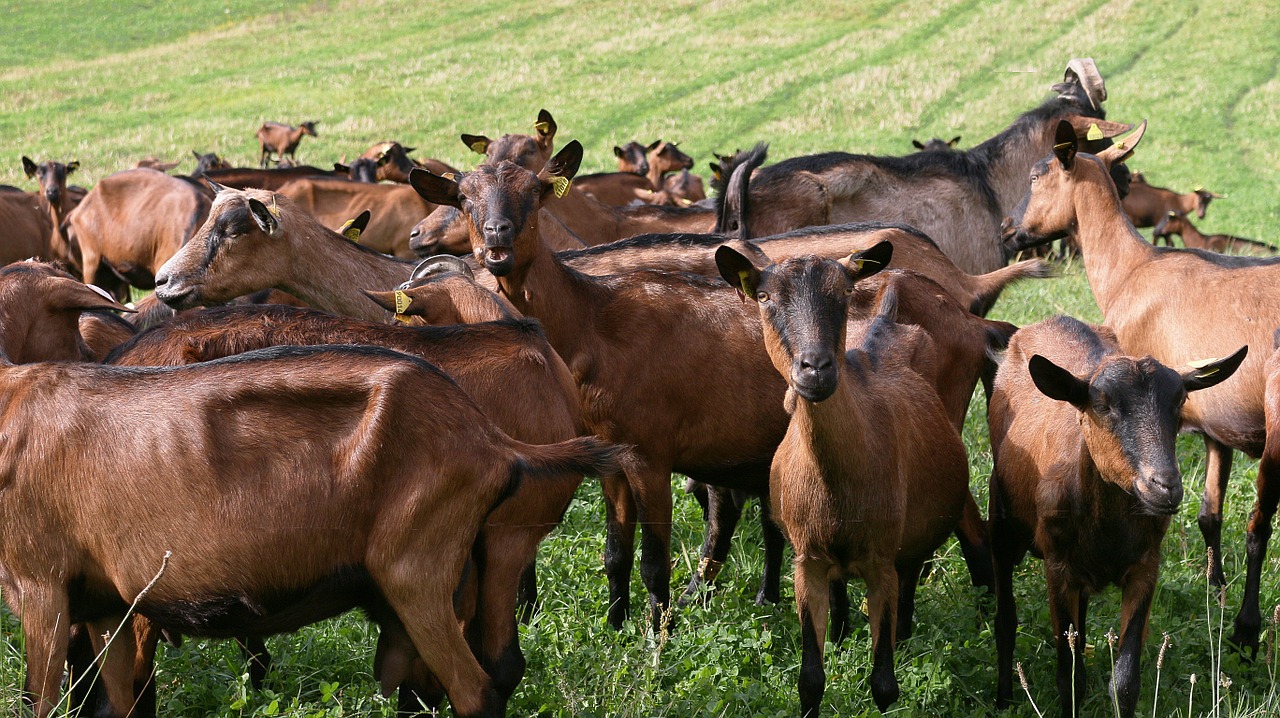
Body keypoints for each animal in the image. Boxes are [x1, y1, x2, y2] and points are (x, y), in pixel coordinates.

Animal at [721, 243, 967, 711]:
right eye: (763, 297)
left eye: (845, 292)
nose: (815, 368)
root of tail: (887, 320)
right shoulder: (808, 562)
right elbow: (810, 680)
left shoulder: (881, 560)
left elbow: (884, 684)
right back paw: (839, 633)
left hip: (914, 537)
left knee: (912, 574)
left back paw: (903, 635)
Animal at [983, 317, 1244, 716]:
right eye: (1101, 404)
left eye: (1181, 400)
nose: (1165, 486)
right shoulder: (1058, 567)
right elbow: (1068, 678)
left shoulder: (1145, 566)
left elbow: (1124, 682)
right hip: (1001, 521)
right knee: (1005, 620)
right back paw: (1003, 698)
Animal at [1003, 117, 1280, 655]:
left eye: (1035, 175)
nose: (1007, 230)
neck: (1131, 269)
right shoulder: (1213, 421)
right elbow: (1209, 514)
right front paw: (1214, 588)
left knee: (1260, 525)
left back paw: (1246, 631)